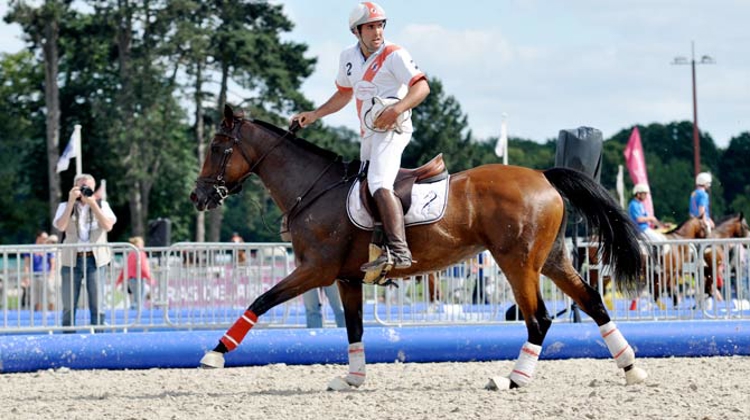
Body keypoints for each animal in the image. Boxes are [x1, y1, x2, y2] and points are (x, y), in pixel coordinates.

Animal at [191, 105, 648, 390]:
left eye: (216, 148)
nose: (198, 197)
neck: (315, 189)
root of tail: (543, 175)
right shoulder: (346, 279)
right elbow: (354, 329)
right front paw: (353, 379)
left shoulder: (315, 270)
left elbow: (261, 300)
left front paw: (216, 353)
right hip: (550, 259)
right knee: (592, 301)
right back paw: (630, 368)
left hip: (516, 262)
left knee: (539, 318)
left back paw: (514, 378)